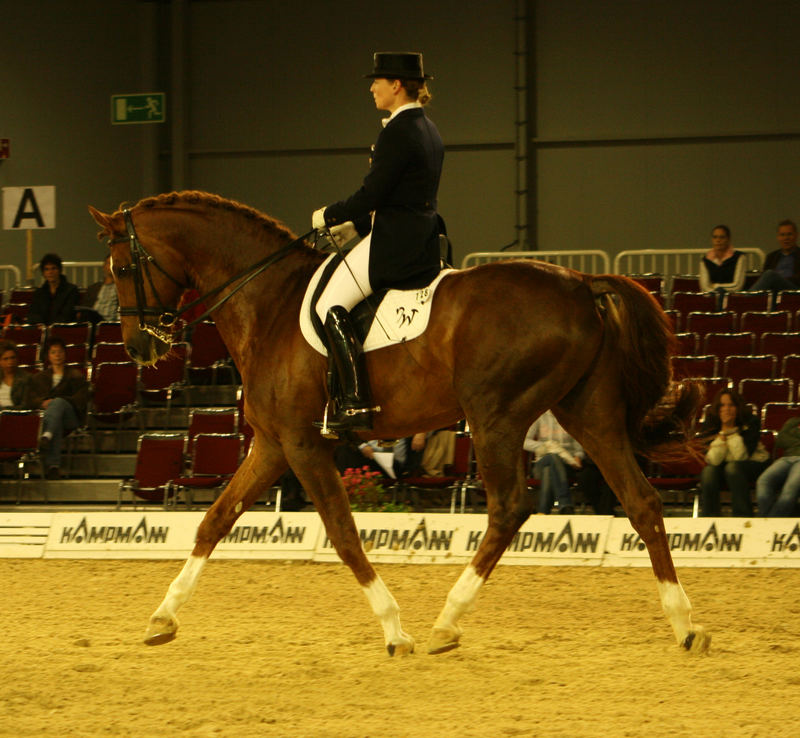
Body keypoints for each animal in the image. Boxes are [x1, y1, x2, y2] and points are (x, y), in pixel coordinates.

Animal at [89, 191, 712, 656]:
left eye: (120, 267)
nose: (140, 348)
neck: (268, 302)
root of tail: (582, 283)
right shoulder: (271, 445)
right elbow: (214, 521)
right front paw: (162, 618)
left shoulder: (302, 444)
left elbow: (343, 534)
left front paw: (395, 630)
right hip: (588, 412)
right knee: (641, 501)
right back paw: (684, 623)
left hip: (495, 415)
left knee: (510, 508)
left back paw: (446, 622)